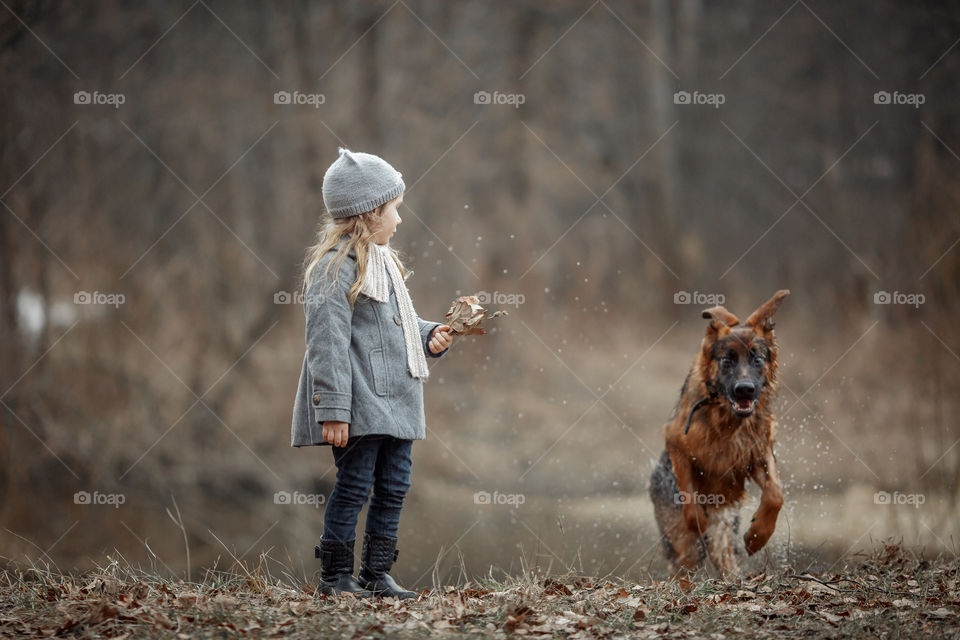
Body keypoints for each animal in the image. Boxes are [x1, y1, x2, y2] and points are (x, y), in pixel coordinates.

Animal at [648, 290, 792, 576]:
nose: (745, 389)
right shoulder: (676, 443)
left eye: (757, 359)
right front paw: (698, 519)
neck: (727, 419)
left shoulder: (757, 453)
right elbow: (689, 497)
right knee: (686, 556)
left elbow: (775, 494)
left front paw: (758, 535)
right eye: (727, 360)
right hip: (682, 541)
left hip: (725, 528)